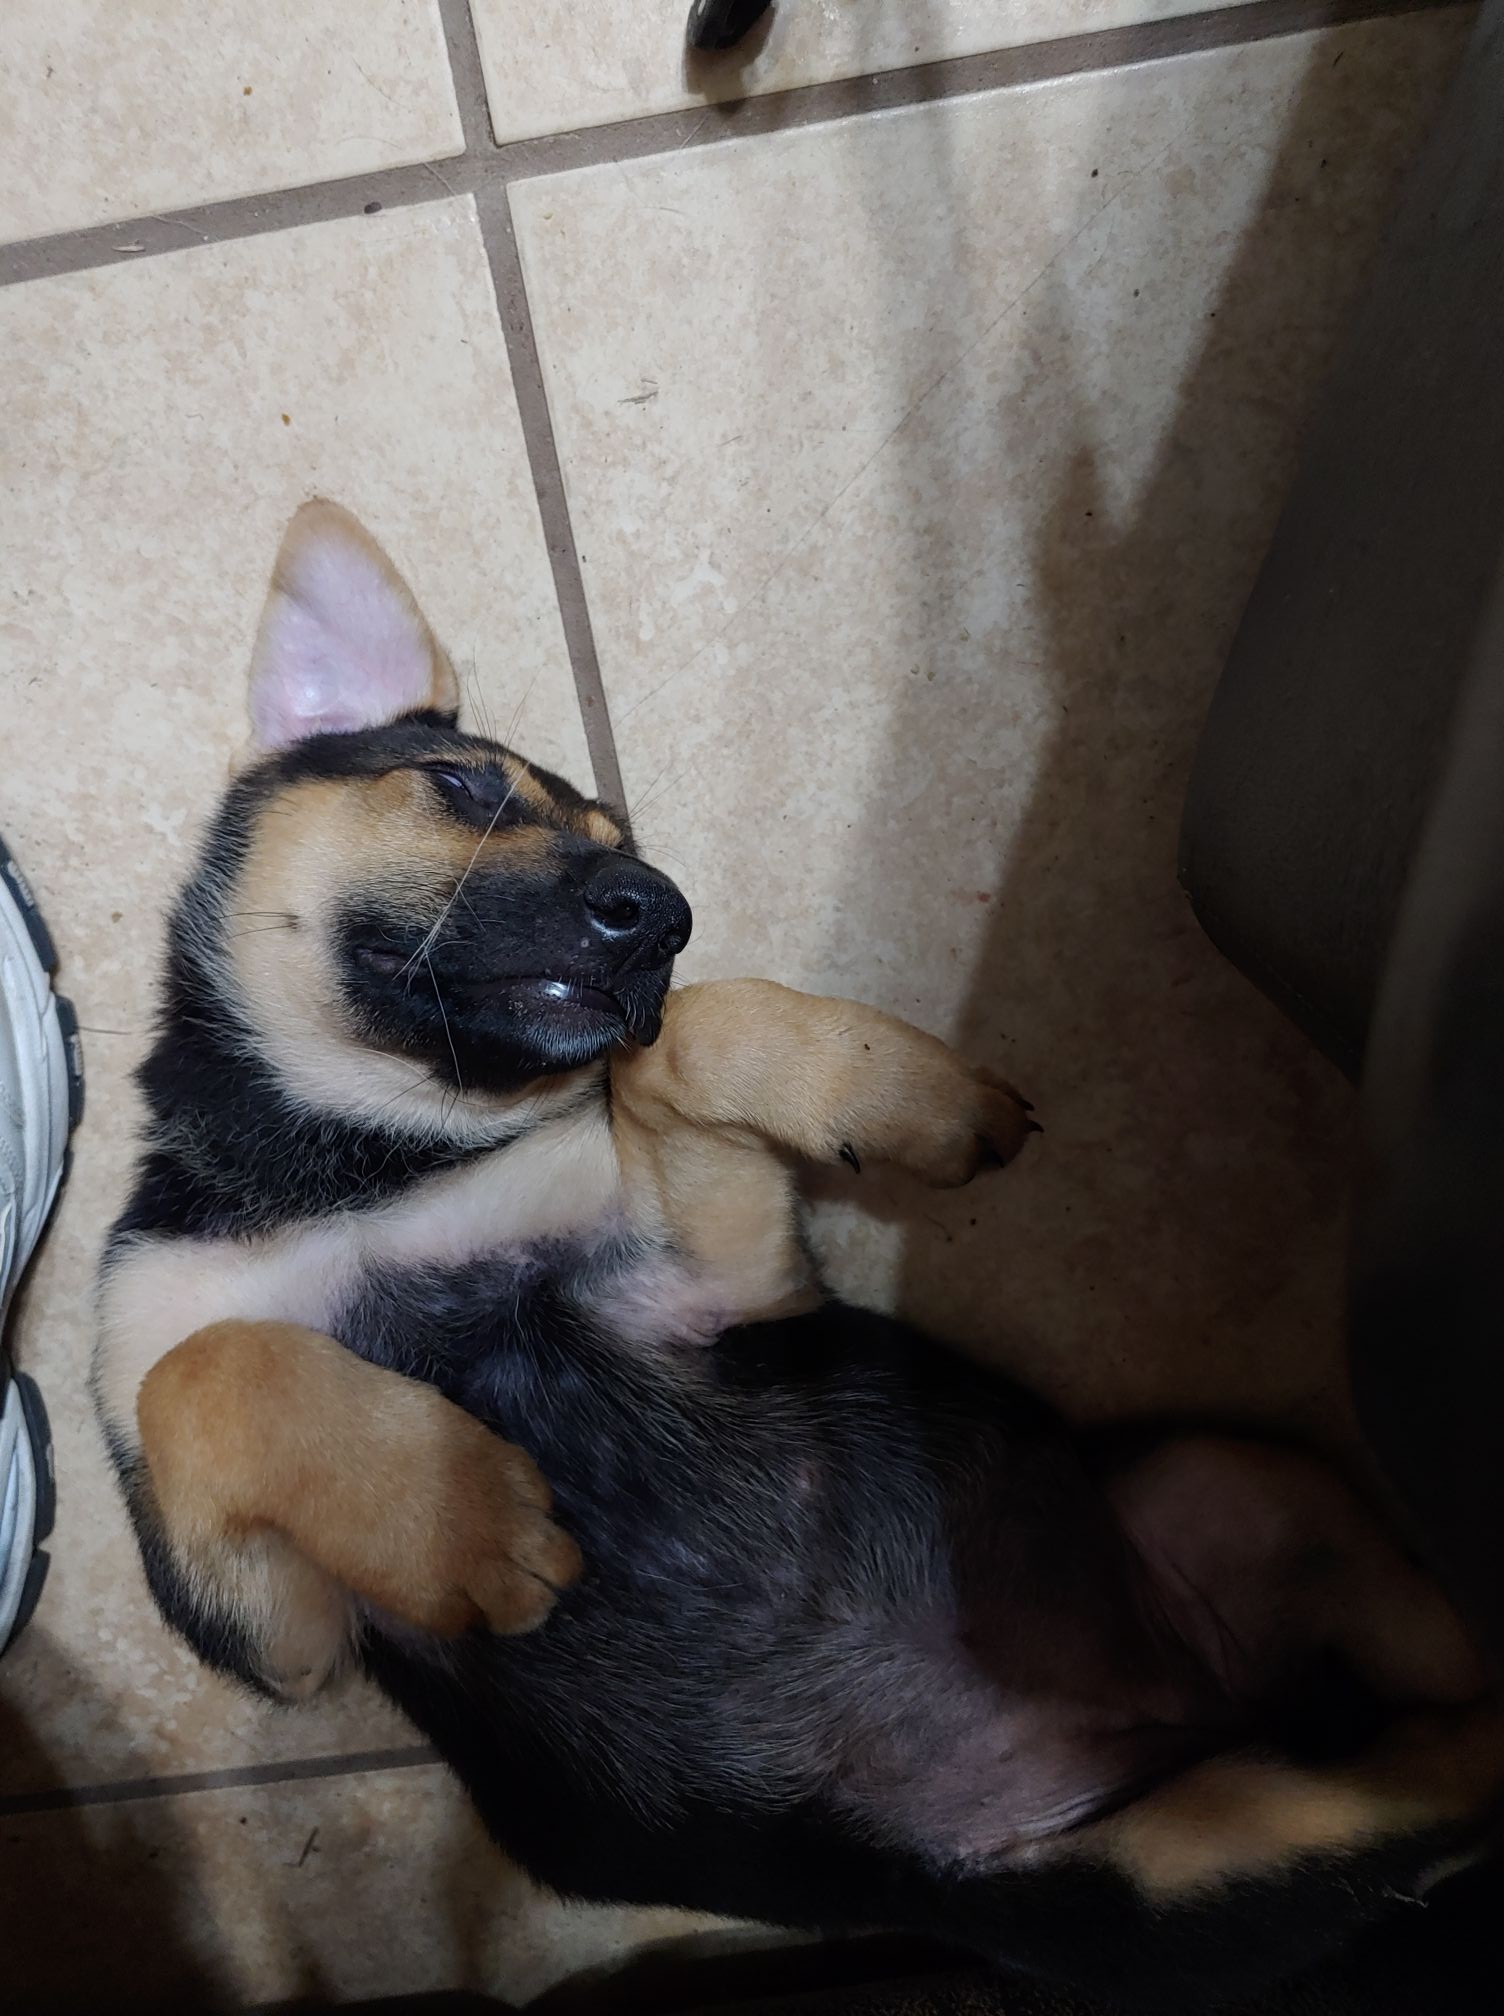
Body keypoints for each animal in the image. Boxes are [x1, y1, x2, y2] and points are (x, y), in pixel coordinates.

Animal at [95, 502, 1504, 2005]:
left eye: (627, 846)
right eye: (464, 789)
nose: (660, 909)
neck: (369, 1162)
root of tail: (1214, 1701)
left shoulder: (724, 1288)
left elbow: (686, 1044)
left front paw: (898, 1092)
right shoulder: (275, 1629)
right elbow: (209, 1371)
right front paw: (461, 1516)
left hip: (1253, 1498)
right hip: (1166, 1831)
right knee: (1438, 1755)